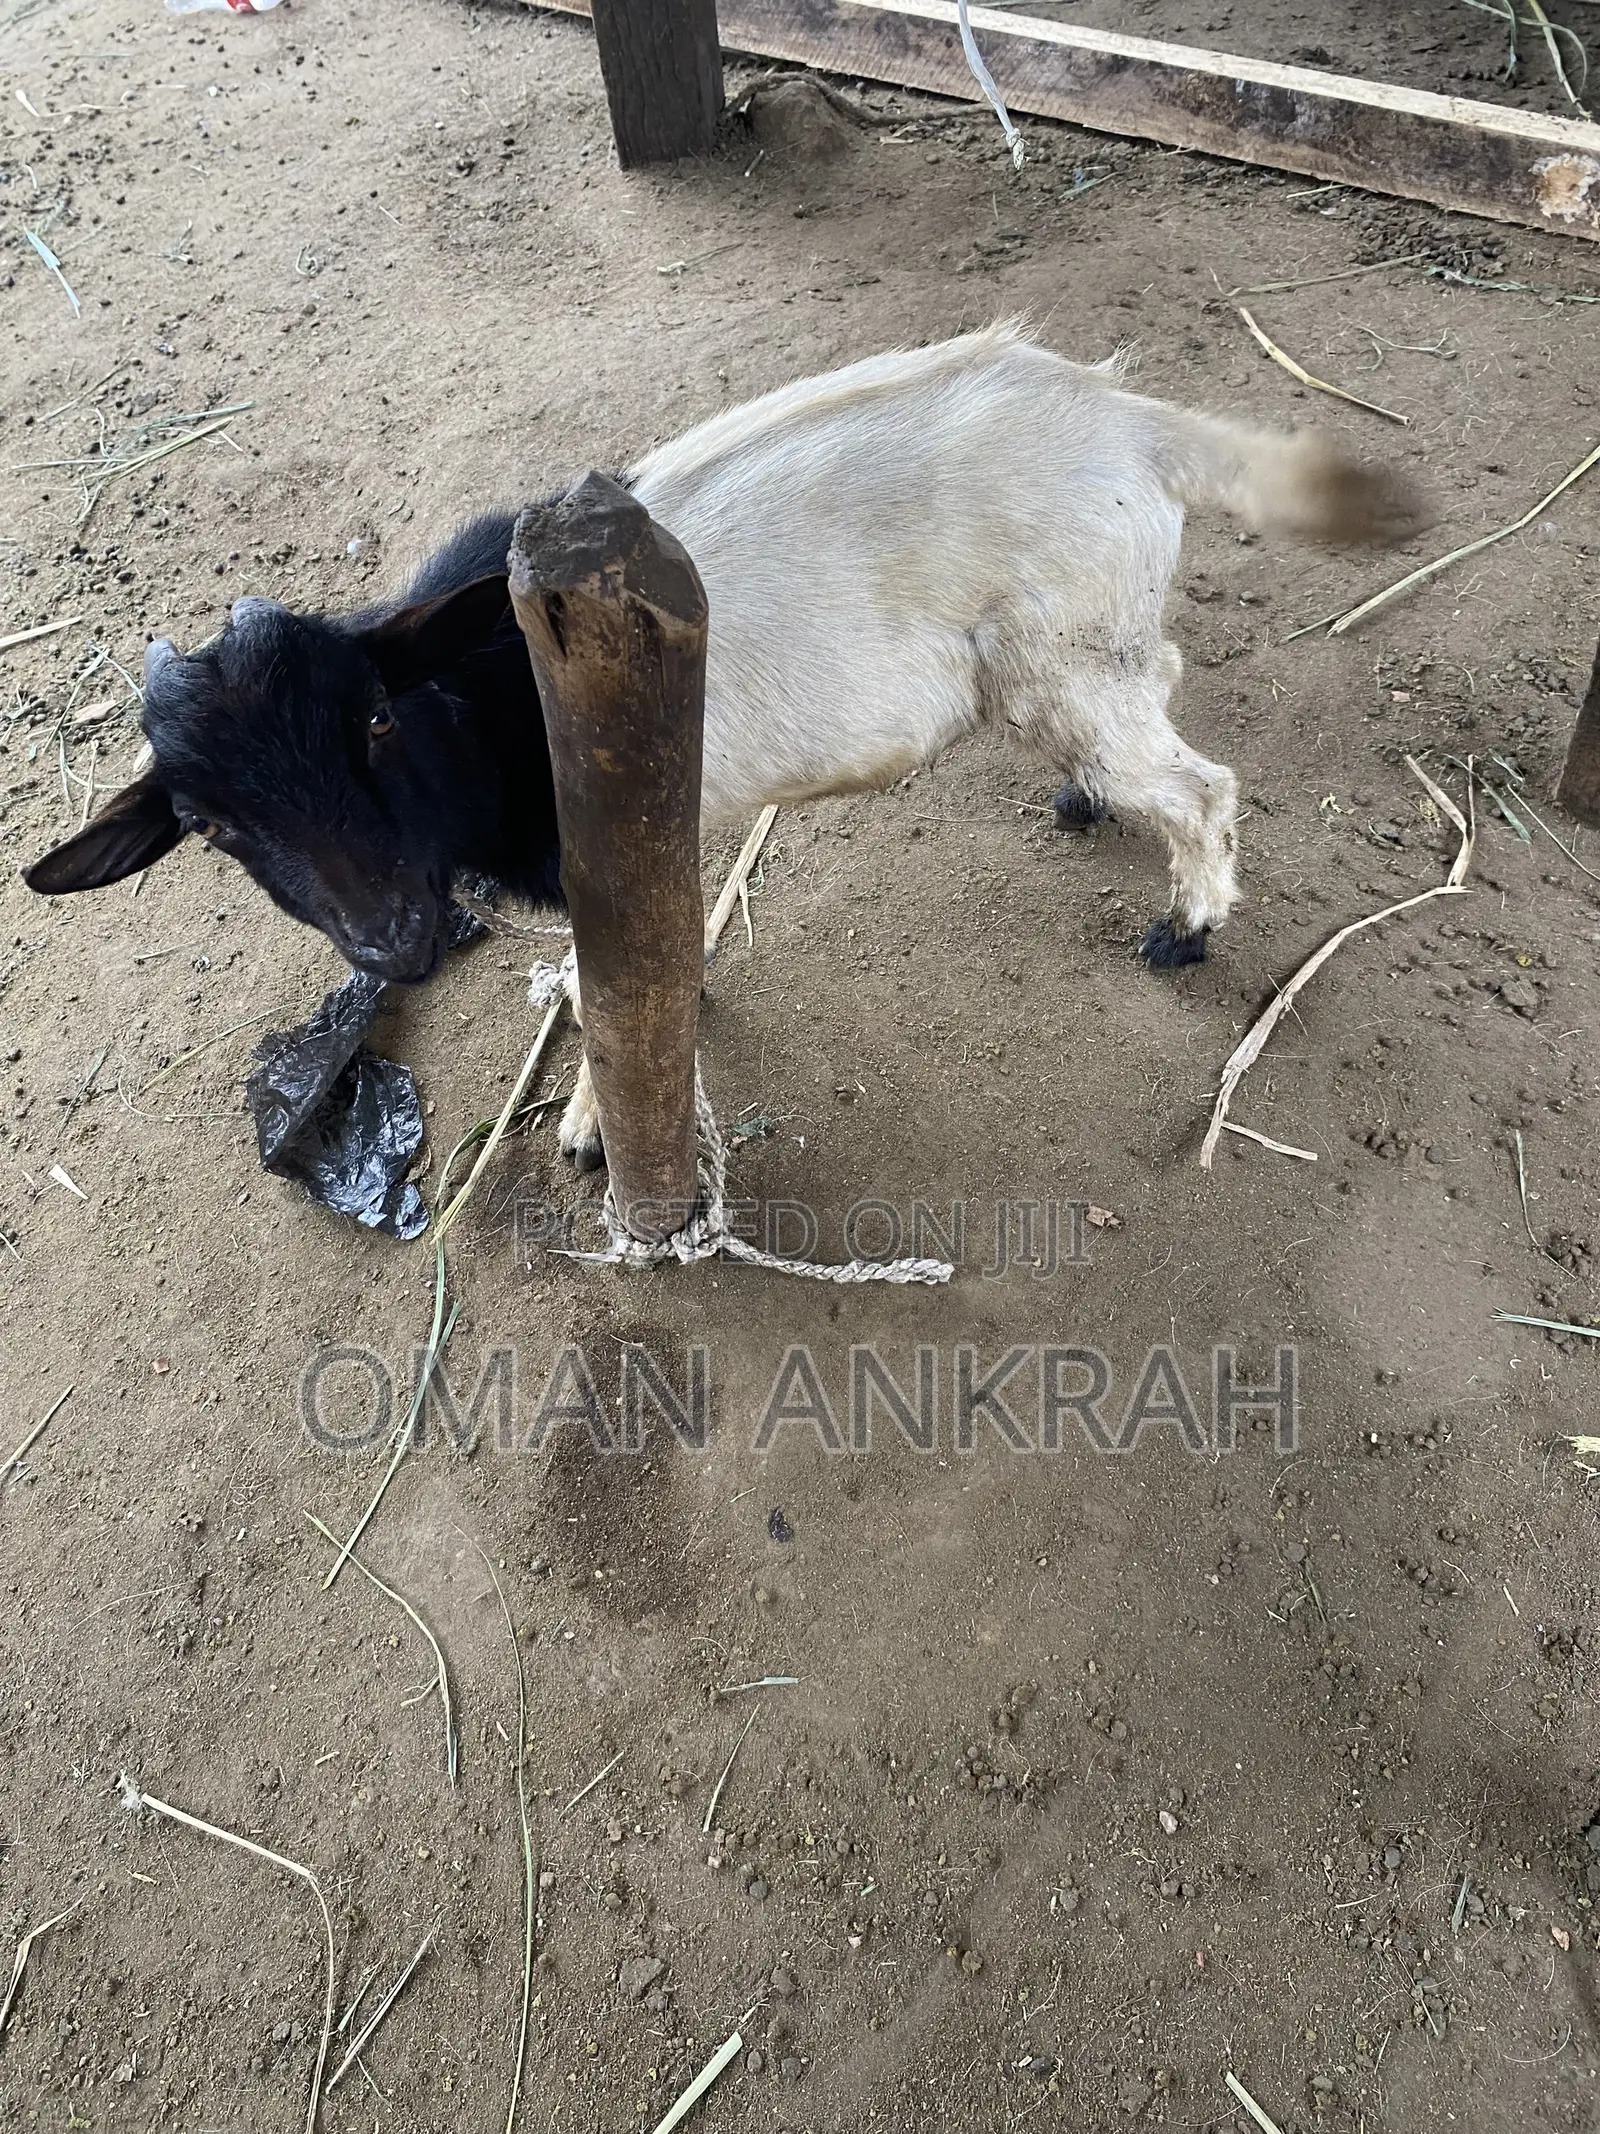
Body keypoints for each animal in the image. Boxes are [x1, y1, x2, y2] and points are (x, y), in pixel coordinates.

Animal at [26, 323, 1425, 1170]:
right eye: (210, 824)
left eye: (374, 718)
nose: (393, 941)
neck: (483, 692)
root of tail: (1130, 422)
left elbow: (615, 987)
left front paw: (592, 1123)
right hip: (1088, 645)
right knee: (1160, 691)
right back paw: (1090, 804)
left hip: (1060, 649)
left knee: (1199, 781)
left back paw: (1187, 923)